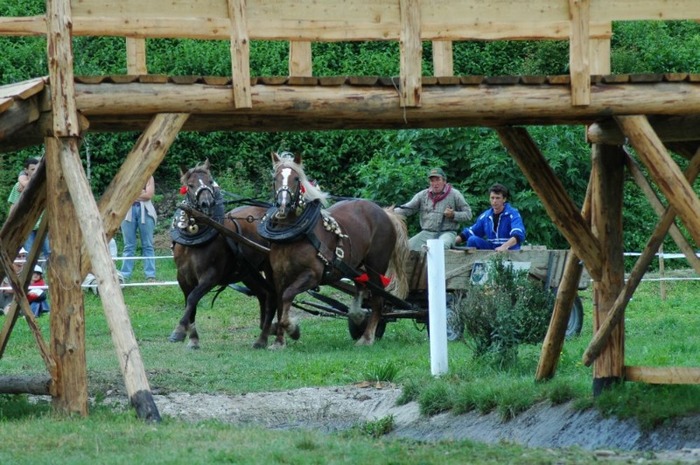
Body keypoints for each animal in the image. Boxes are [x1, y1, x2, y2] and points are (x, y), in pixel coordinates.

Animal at [170, 161, 276, 346]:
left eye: (210, 181)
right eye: (190, 185)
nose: (206, 203)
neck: (192, 241)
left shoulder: (210, 276)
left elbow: (192, 298)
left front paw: (179, 330)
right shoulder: (182, 277)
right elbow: (190, 304)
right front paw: (191, 337)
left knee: (275, 296)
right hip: (248, 272)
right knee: (264, 294)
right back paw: (264, 328)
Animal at [260, 153, 408, 348]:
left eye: (296, 179)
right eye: (275, 178)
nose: (283, 205)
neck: (293, 235)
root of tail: (385, 213)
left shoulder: (312, 275)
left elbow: (287, 295)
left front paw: (292, 330)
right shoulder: (279, 276)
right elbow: (280, 302)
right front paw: (279, 341)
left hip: (377, 265)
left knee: (377, 299)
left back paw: (367, 337)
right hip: (355, 265)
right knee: (361, 286)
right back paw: (357, 316)